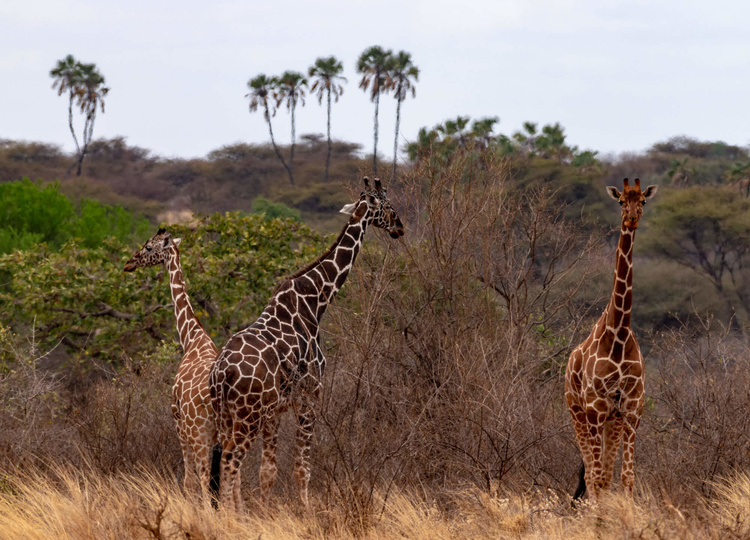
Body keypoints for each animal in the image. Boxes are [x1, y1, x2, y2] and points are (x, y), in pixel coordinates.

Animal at [123, 228, 222, 502]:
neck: (192, 338)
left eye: (148, 247)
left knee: (203, 479)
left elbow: (189, 481)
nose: (128, 263)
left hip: (199, 434)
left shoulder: (178, 421)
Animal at [209, 177, 406, 510]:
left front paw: (264, 512)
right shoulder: (310, 394)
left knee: (223, 460)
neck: (315, 301)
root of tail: (222, 372)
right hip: (247, 415)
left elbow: (268, 470)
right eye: (388, 205)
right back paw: (229, 515)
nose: (400, 227)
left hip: (225, 414)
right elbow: (302, 467)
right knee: (230, 461)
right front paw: (305, 511)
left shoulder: (276, 409)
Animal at [564, 177, 656, 502]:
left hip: (611, 421)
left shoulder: (631, 408)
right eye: (620, 201)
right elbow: (597, 478)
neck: (618, 333)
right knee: (592, 476)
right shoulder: (595, 408)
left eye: (643, 200)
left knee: (602, 472)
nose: (631, 218)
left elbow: (626, 477)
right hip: (577, 412)